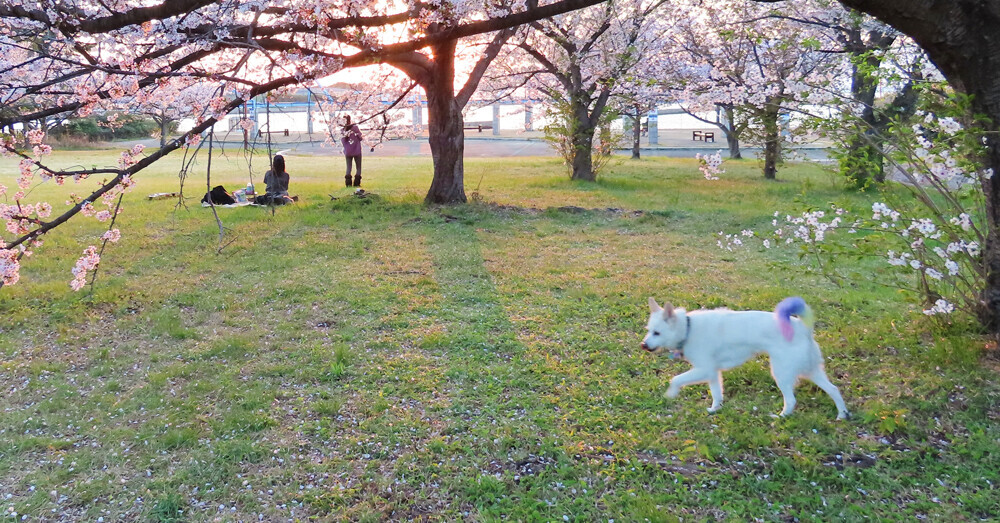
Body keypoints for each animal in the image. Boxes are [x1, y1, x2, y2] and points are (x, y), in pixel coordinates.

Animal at [644, 296, 848, 420]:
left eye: (657, 332)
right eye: (648, 330)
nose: (643, 345)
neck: (688, 328)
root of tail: (804, 329)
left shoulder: (704, 369)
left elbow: (676, 379)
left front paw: (670, 394)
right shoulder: (712, 373)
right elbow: (717, 394)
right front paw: (714, 409)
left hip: (781, 373)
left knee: (791, 400)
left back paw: (780, 417)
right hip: (811, 371)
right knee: (833, 389)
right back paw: (842, 415)